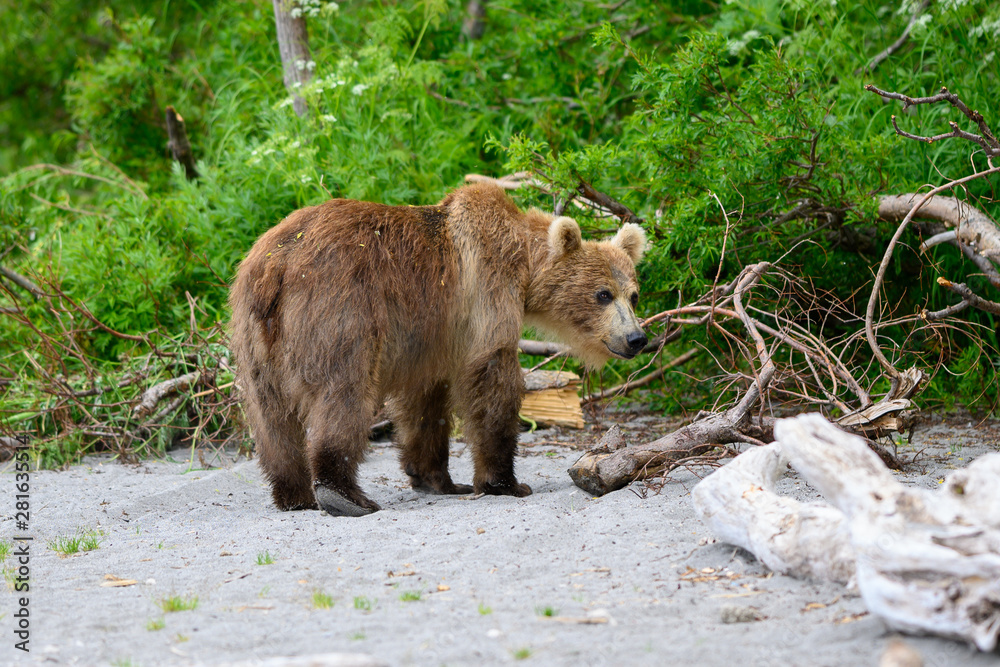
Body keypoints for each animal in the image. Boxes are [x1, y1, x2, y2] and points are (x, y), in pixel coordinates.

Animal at [228, 183, 647, 516]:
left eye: (633, 295)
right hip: (339, 310)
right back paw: (344, 496)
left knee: (270, 418)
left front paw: (437, 478)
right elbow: (492, 379)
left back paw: (293, 494)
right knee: (344, 395)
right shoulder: (486, 291)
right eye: (602, 294)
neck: (525, 268)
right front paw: (504, 482)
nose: (637, 338)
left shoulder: (431, 336)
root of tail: (277, 266)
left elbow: (425, 402)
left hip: (255, 334)